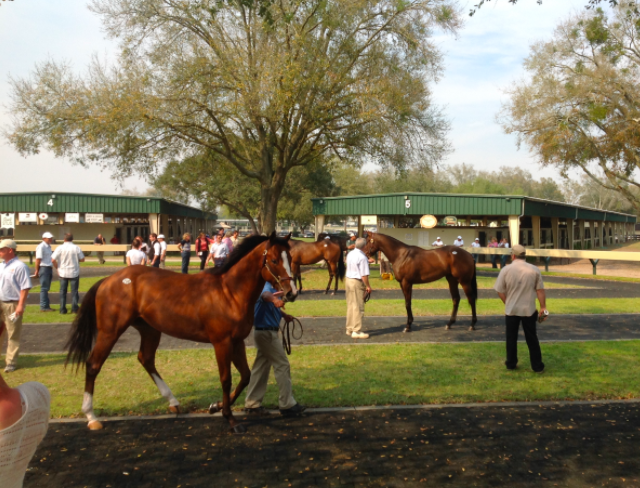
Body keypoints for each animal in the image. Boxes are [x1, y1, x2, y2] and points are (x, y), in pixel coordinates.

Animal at [65, 234, 298, 432]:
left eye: (290, 258)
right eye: (274, 260)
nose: (292, 293)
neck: (229, 292)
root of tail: (107, 280)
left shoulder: (237, 341)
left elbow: (246, 376)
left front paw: (216, 406)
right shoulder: (221, 342)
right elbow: (226, 379)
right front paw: (230, 418)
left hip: (150, 329)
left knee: (146, 359)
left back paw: (173, 402)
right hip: (110, 331)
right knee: (93, 365)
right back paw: (91, 417)